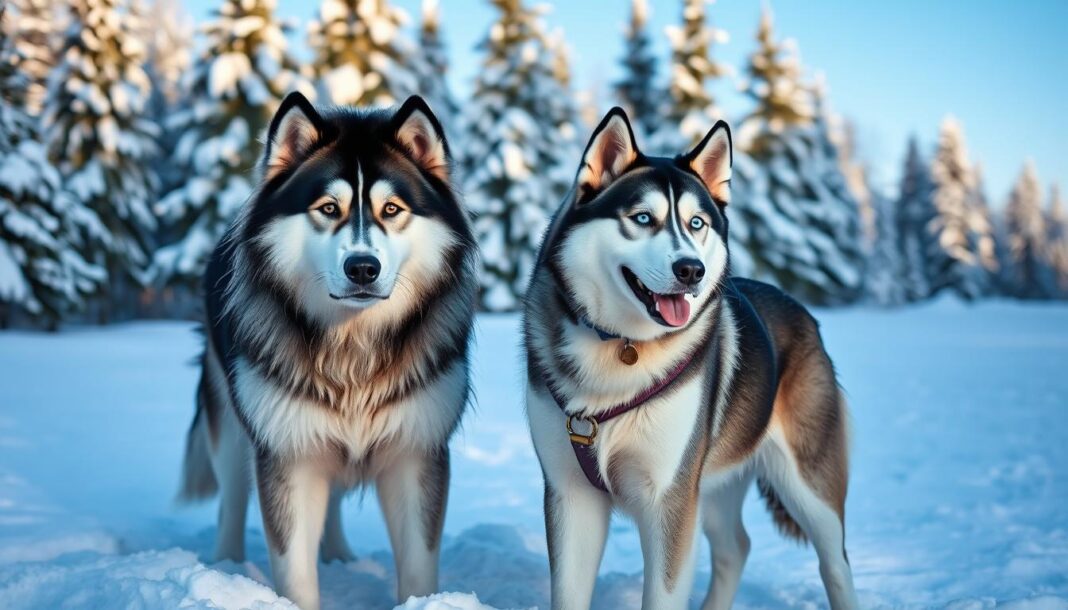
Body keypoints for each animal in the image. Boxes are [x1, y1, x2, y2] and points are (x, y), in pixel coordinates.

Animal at [177, 91, 478, 610]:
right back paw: (227, 568)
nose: (362, 268)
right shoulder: (287, 453)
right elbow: (294, 569)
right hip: (231, 420)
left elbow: (418, 565)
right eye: (328, 207)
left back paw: (338, 555)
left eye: (392, 208)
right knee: (231, 499)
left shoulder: (416, 452)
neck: (353, 345)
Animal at [525, 110, 858, 610]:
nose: (691, 270)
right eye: (643, 218)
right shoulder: (571, 495)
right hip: (715, 481)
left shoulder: (671, 499)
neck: (622, 347)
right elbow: (568, 595)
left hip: (807, 486)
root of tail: (802, 313)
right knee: (736, 547)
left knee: (835, 563)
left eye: (697, 223)